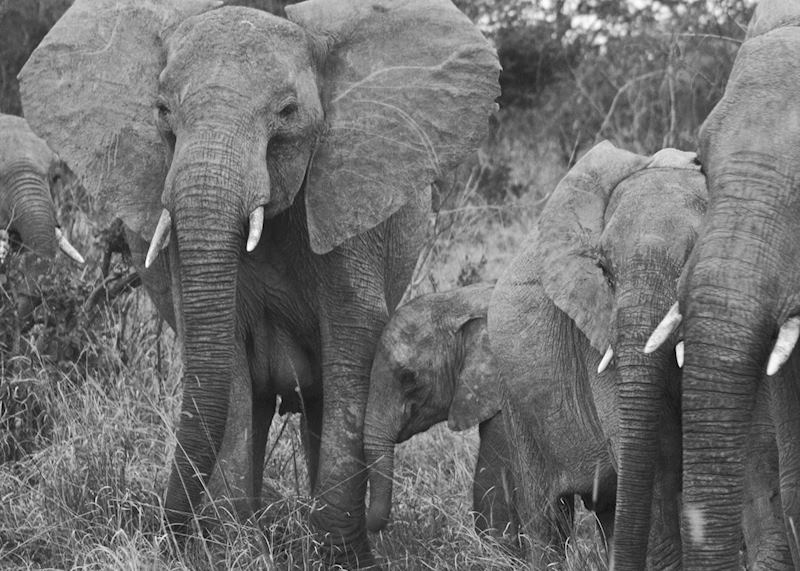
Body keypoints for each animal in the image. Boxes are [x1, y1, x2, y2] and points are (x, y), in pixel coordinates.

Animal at [18, 0, 499, 565]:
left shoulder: (347, 198)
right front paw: (232, 549)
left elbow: (355, 338)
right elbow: (222, 355)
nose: (160, 533)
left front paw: (340, 557)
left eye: (288, 112)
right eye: (161, 111)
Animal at [488, 141, 708, 569]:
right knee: (547, 520)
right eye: (604, 269)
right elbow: (655, 462)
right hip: (517, 406)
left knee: (608, 511)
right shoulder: (596, 339)